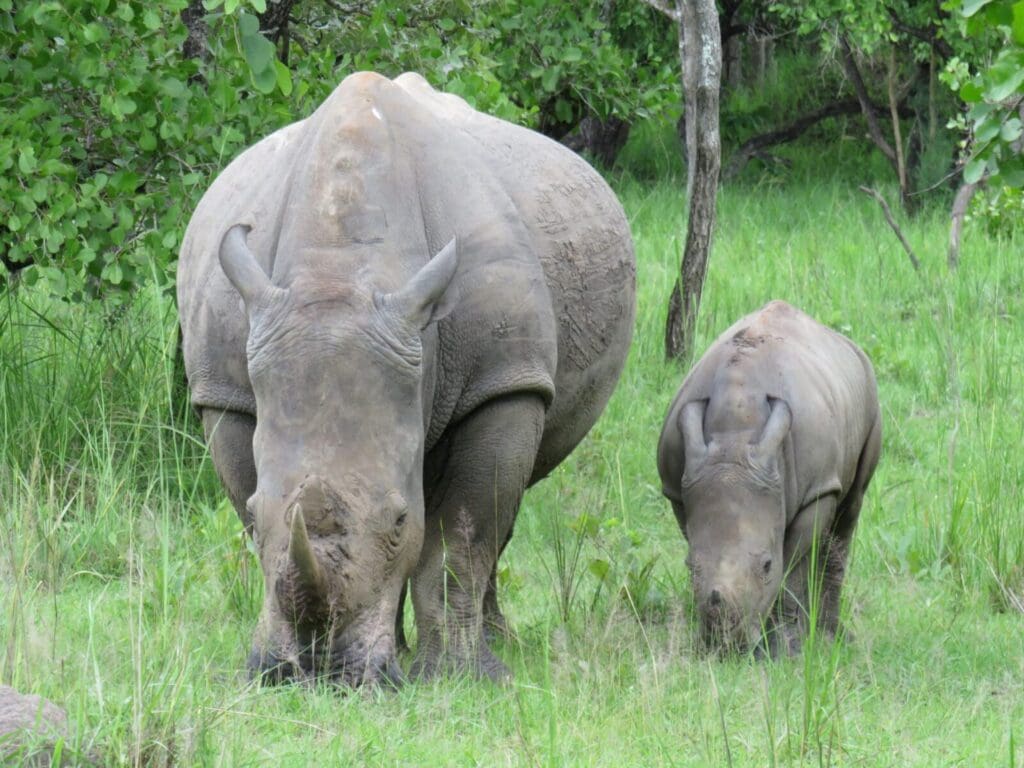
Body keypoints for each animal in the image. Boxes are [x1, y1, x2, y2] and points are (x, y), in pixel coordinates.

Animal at [177, 72, 636, 685]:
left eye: (398, 518)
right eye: (254, 511)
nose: (317, 673)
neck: (340, 270)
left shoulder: (501, 381)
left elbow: (462, 535)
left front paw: (463, 677)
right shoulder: (226, 395)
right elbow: (261, 523)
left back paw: (496, 643)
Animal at [657, 301, 881, 655]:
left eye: (766, 565)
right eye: (689, 566)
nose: (726, 646)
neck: (734, 434)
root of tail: (843, 342)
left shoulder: (816, 492)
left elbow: (791, 568)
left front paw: (787, 648)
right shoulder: (678, 491)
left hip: (868, 394)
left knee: (850, 507)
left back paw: (832, 637)